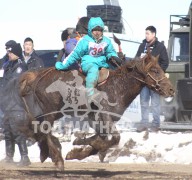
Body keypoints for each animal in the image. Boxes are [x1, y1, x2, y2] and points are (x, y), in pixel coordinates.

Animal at [15, 52, 174, 171]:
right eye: (154, 70)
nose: (171, 90)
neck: (117, 86)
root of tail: (40, 75)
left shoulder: (99, 121)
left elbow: (99, 140)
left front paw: (77, 150)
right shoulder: (105, 116)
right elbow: (114, 139)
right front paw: (88, 147)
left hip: (54, 111)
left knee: (40, 129)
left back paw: (46, 153)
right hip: (51, 111)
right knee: (45, 130)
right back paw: (57, 159)